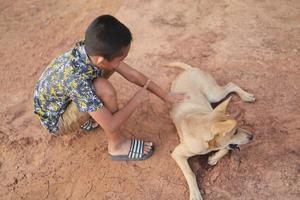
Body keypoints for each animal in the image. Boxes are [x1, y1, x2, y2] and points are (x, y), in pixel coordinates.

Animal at [168, 62, 254, 200]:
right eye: (234, 132)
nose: (252, 136)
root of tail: (190, 69)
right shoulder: (177, 154)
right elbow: (190, 173)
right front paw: (195, 193)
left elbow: (225, 149)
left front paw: (213, 158)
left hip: (213, 94)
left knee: (230, 85)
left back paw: (246, 96)